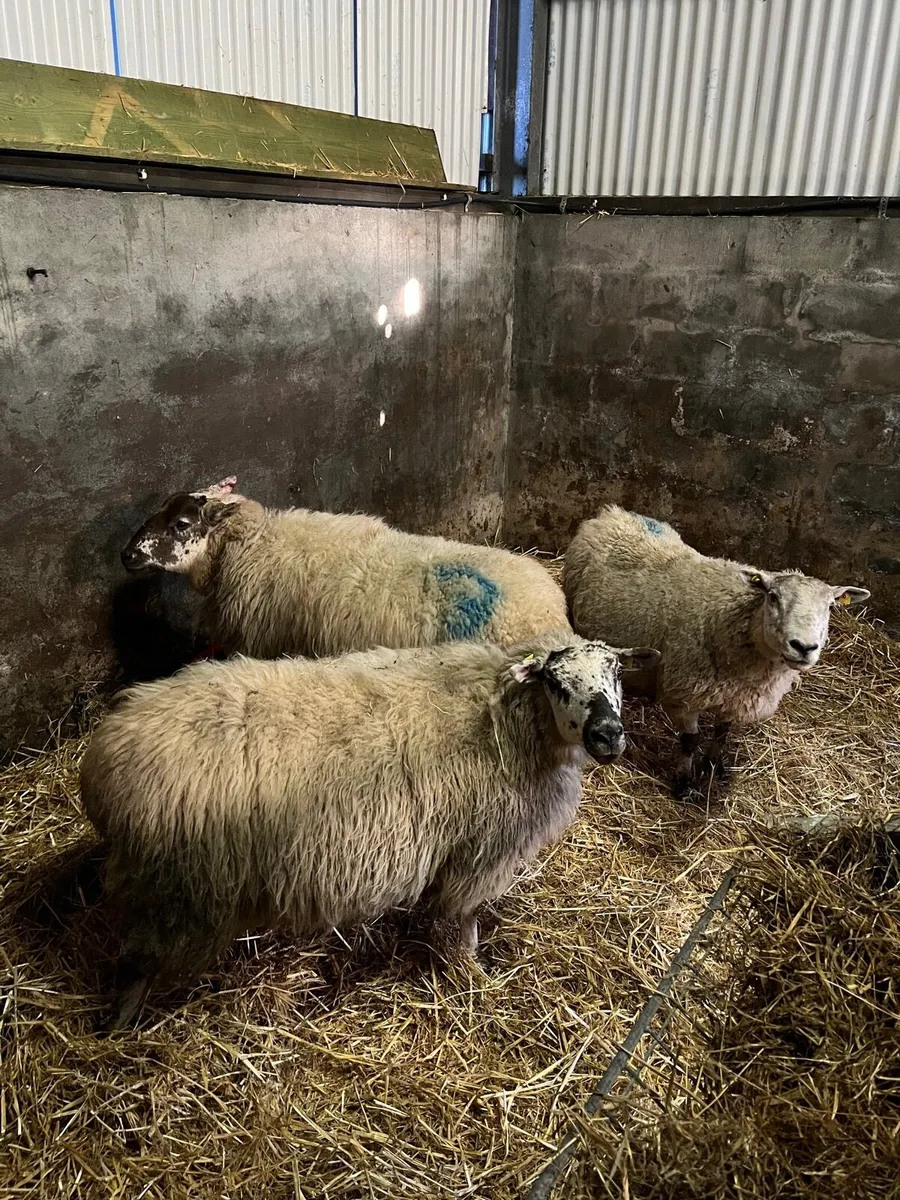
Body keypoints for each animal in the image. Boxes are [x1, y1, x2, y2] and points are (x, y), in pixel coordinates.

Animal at [80, 633, 659, 1029]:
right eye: (557, 683)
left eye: (616, 672)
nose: (608, 734)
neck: (512, 724)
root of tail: (103, 762)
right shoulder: (479, 854)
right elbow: (464, 922)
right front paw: (474, 976)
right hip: (173, 892)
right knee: (135, 965)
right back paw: (119, 1027)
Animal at [563, 505, 870, 801]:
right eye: (773, 597)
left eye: (830, 606)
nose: (804, 647)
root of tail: (613, 512)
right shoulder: (684, 696)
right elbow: (690, 741)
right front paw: (684, 784)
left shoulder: (736, 698)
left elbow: (722, 733)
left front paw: (714, 767)